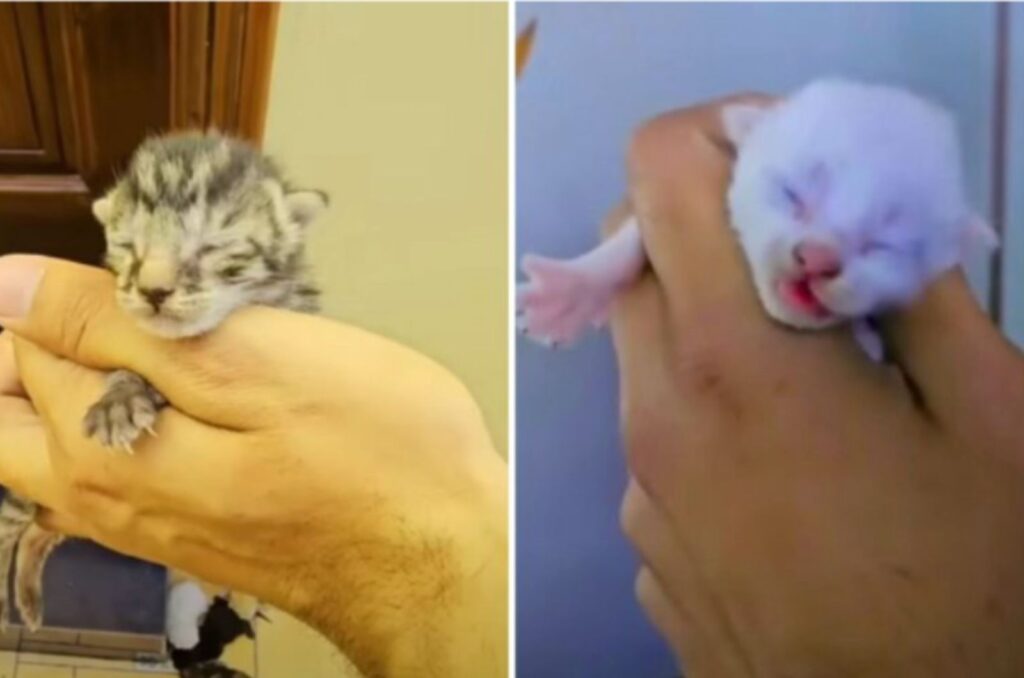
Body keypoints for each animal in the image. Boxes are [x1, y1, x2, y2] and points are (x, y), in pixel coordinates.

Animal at [0, 131, 325, 630]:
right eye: (129, 247)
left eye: (212, 247)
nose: (153, 289)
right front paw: (121, 397)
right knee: (9, 528)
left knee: (37, 532)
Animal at [516, 78, 995, 358]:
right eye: (791, 193)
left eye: (883, 244)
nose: (817, 258)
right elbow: (634, 235)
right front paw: (569, 292)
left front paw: (868, 339)